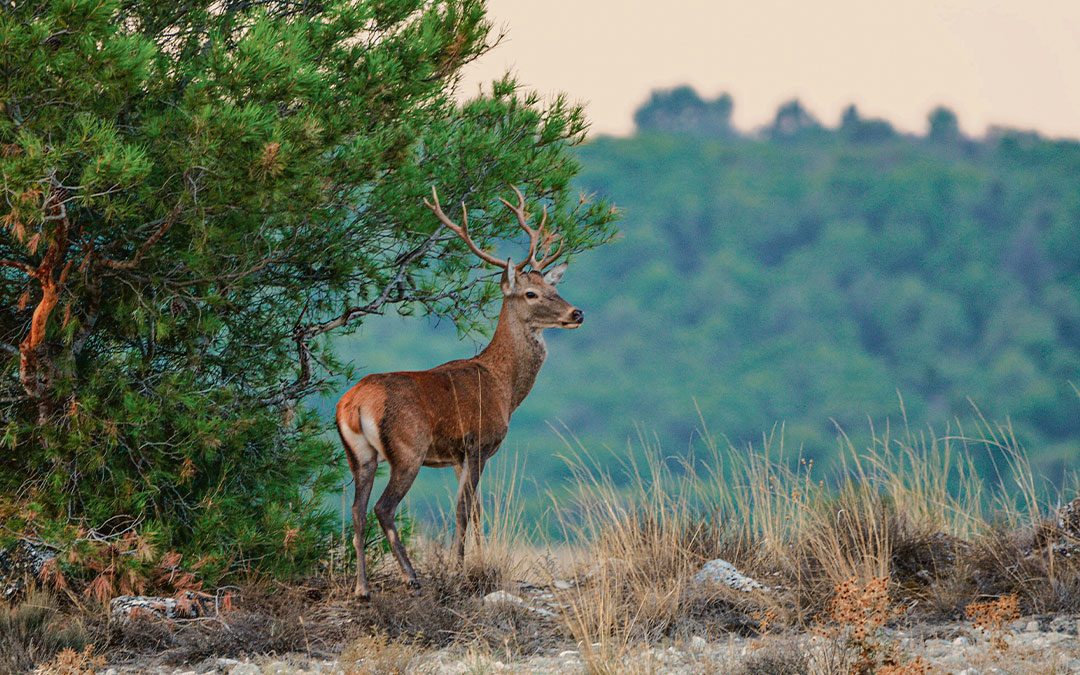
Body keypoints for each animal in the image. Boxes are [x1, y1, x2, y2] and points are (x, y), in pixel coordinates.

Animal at [335, 186, 585, 598]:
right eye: (531, 293)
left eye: (555, 287)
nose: (577, 313)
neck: (503, 387)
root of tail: (352, 406)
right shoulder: (478, 442)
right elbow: (464, 509)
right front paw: (458, 569)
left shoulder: (455, 456)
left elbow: (477, 509)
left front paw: (477, 562)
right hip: (409, 447)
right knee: (383, 508)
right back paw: (411, 576)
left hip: (359, 454)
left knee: (356, 510)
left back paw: (362, 587)